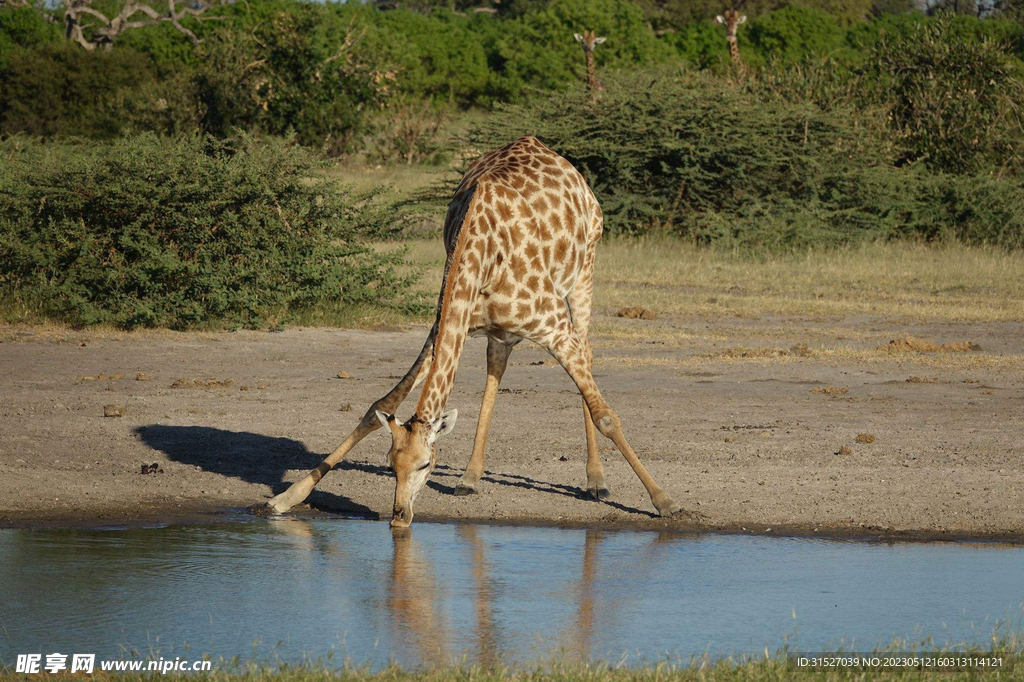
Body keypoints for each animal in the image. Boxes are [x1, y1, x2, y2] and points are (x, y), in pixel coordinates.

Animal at [260, 133, 684, 524]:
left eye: (426, 465)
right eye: (389, 463)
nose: (399, 516)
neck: (483, 256)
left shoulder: (555, 329)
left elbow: (606, 415)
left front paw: (664, 501)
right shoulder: (448, 323)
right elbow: (381, 404)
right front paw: (286, 498)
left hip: (584, 273)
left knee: (588, 353)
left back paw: (596, 480)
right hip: (503, 326)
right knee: (497, 364)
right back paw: (470, 475)